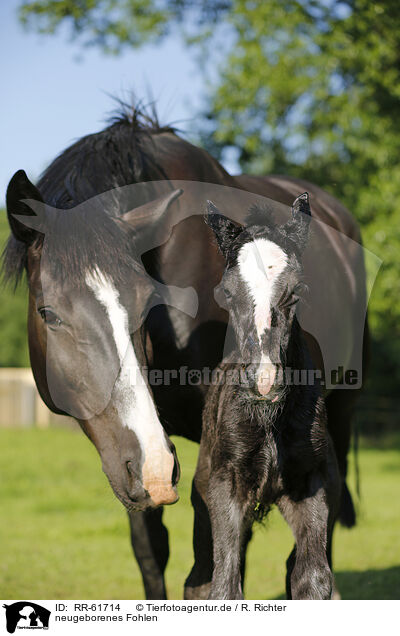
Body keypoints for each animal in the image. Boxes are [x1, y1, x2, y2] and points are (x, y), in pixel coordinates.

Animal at [193, 193, 340, 596]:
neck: (269, 420)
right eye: (226, 292)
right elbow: (225, 583)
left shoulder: (310, 484)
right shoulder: (225, 487)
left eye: (298, 291)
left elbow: (312, 576)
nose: (263, 380)